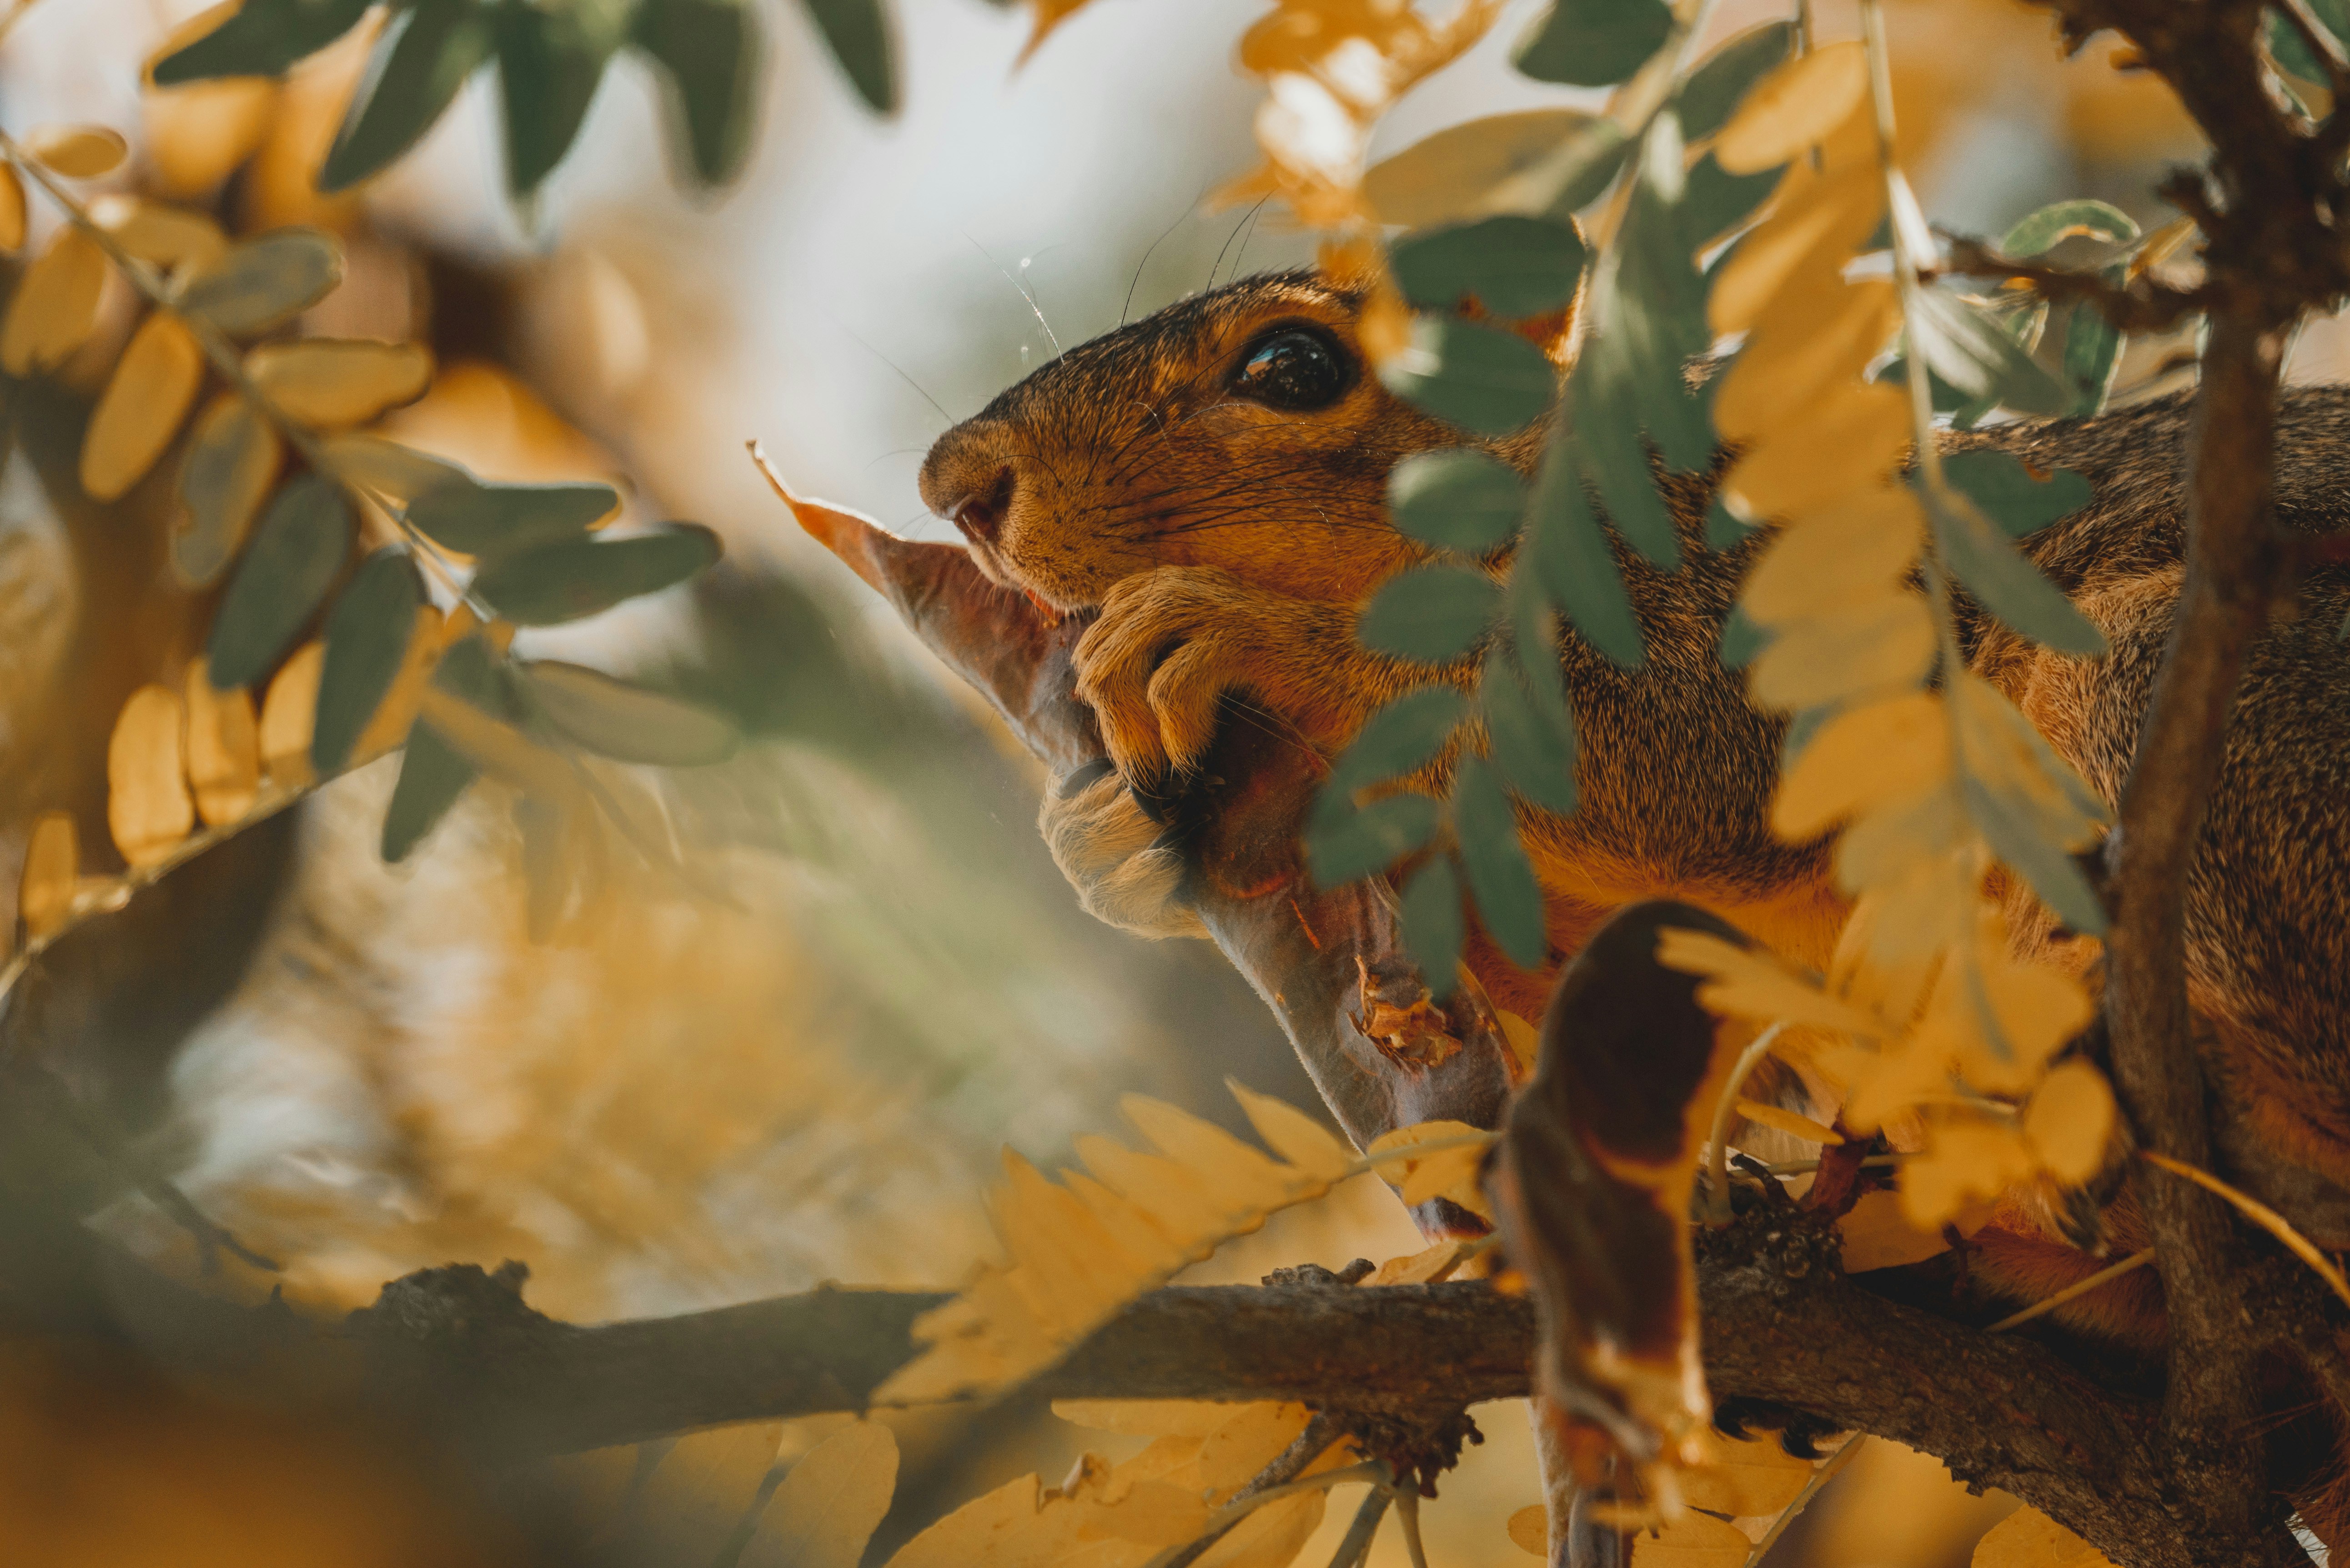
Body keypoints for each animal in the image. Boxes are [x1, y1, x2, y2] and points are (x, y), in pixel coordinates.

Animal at [917, 266, 2350, 1528]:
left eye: (1294, 367)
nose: (955, 484)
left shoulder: (1776, 605)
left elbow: (1672, 749)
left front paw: (1242, 634)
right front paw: (1107, 838)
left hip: (2182, 694)